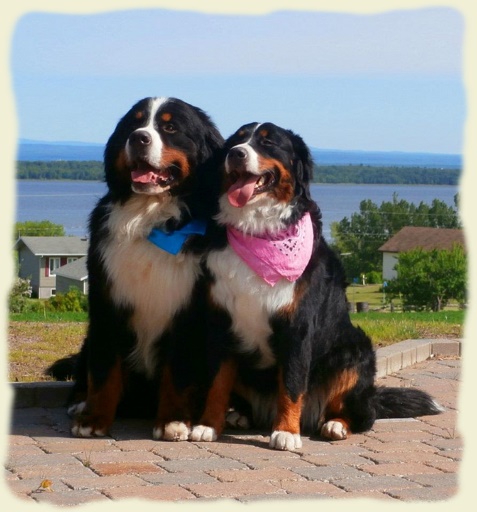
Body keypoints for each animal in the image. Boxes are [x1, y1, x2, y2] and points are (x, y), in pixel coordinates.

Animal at [62, 97, 223, 440]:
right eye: (133, 124)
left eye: (170, 127)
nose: (138, 138)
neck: (150, 217)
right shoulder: (108, 301)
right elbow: (104, 370)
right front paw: (94, 419)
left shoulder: (187, 309)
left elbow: (177, 373)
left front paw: (173, 421)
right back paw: (80, 402)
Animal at [188, 122, 440, 450]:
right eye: (236, 140)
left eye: (268, 143)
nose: (236, 154)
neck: (258, 231)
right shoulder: (221, 322)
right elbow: (217, 383)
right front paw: (207, 425)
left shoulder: (297, 325)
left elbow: (292, 384)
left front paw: (286, 432)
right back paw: (240, 417)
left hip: (354, 352)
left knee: (363, 414)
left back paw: (334, 424)